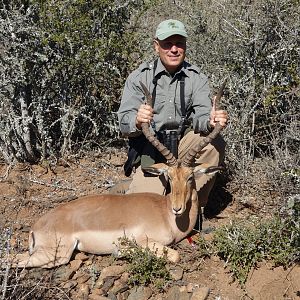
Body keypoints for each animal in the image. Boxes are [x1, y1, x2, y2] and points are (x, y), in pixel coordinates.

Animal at [12, 81, 226, 268]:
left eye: (190, 177)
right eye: (169, 177)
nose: (177, 208)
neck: (165, 215)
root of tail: (36, 227)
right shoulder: (146, 240)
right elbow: (174, 255)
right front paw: (121, 251)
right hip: (58, 254)